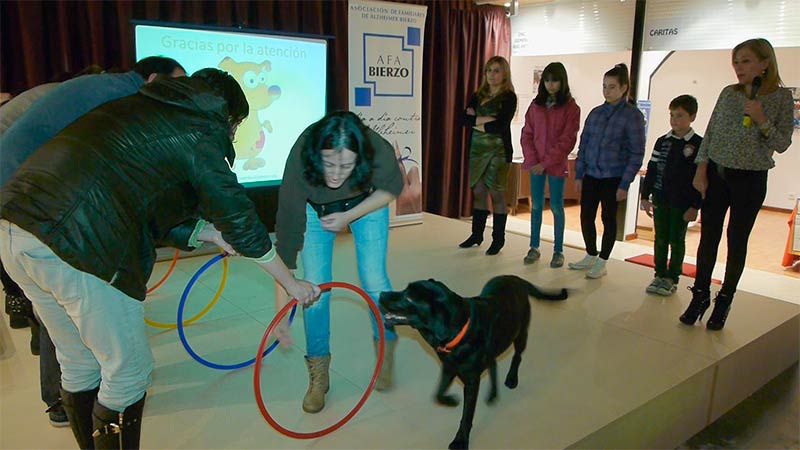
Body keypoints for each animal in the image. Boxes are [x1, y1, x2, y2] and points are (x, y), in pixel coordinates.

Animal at [378, 274, 564, 450]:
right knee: (493, 363)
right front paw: (452, 401)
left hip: (520, 334)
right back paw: (493, 393)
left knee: (517, 356)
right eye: (405, 289)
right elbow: (438, 394)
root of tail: (517, 278)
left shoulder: (471, 381)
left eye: (409, 298)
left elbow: (467, 415)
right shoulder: (449, 368)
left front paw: (460, 440)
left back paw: (512, 379)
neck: (459, 331)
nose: (381, 294)